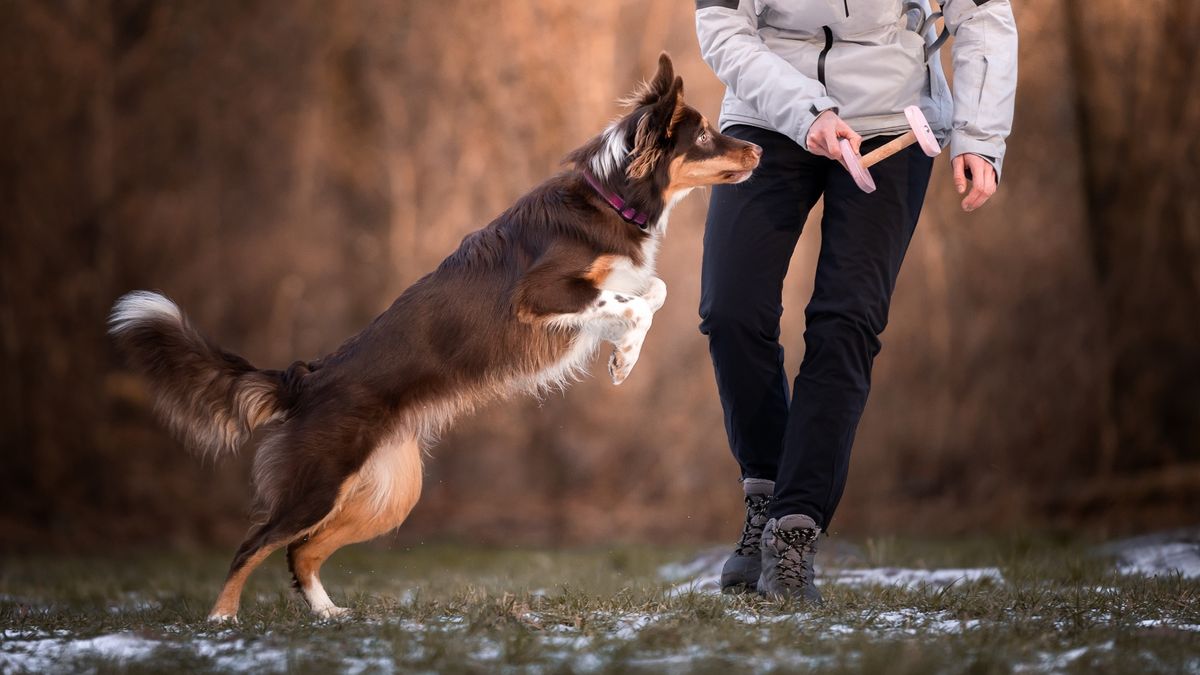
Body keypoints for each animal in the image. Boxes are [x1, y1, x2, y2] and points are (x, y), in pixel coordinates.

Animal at [108, 53, 753, 619]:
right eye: (704, 136)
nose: (760, 147)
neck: (612, 198)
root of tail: (305, 380)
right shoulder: (540, 293)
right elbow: (635, 302)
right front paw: (623, 356)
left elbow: (655, 291)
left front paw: (623, 358)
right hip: (318, 480)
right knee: (255, 543)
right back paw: (222, 621)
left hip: (387, 493)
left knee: (301, 550)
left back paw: (329, 614)